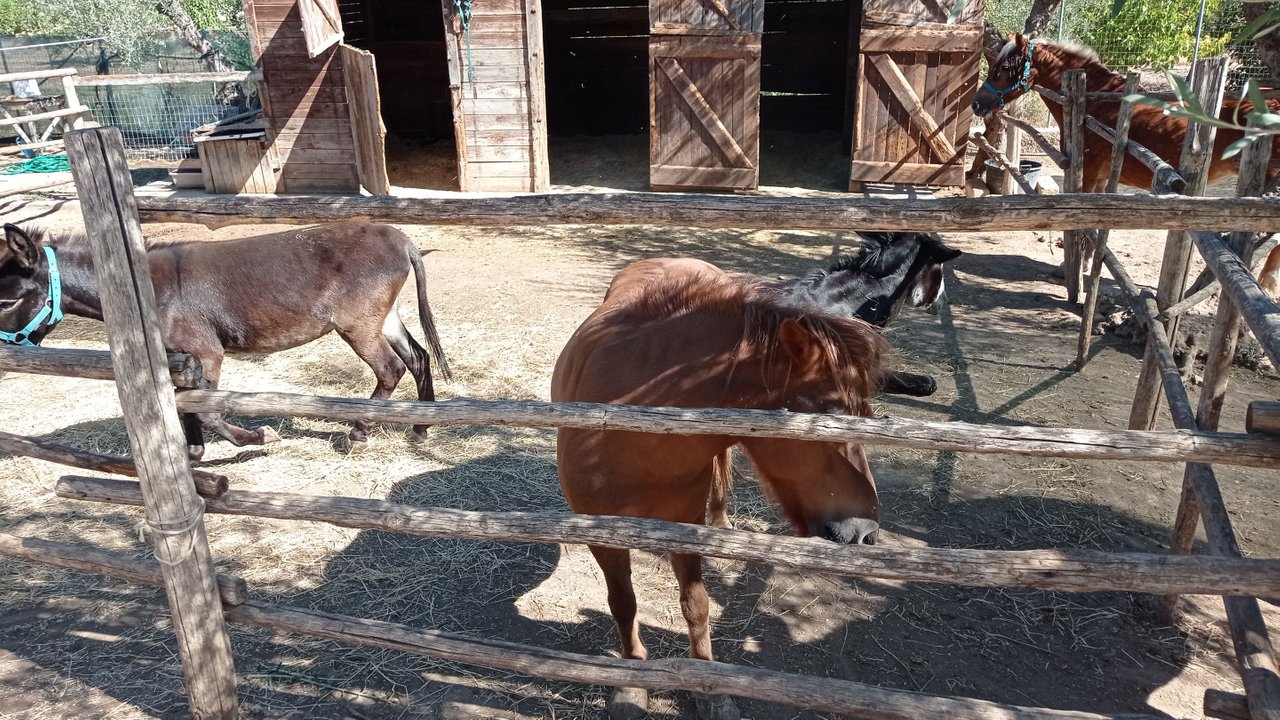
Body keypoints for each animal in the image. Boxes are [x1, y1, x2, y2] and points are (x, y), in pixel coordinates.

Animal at [0, 221, 450, 453]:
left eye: (5, 301)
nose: (6, 356)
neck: (141, 289)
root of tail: (401, 239)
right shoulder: (176, 357)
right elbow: (184, 406)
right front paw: (194, 453)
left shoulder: (206, 352)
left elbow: (207, 410)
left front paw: (257, 437)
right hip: (383, 317)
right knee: (418, 358)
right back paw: (421, 428)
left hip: (357, 324)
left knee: (390, 369)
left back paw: (358, 433)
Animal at [552, 257, 890, 717]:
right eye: (830, 416)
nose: (866, 532)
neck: (631, 429)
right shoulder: (602, 535)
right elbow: (623, 604)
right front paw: (632, 680)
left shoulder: (683, 526)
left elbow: (696, 605)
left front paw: (707, 685)